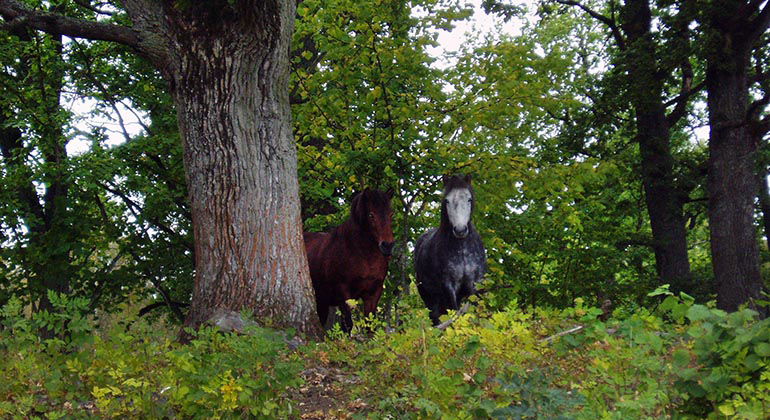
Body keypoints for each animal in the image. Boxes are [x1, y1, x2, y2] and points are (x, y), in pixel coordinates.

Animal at [304, 188, 392, 332]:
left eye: (391, 214)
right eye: (371, 215)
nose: (387, 245)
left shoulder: (373, 293)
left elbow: (369, 325)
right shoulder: (343, 292)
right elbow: (348, 325)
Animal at [414, 174, 486, 324]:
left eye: (469, 199)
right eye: (447, 201)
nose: (460, 230)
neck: (462, 250)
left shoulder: (475, 284)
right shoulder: (448, 286)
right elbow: (454, 313)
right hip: (429, 298)